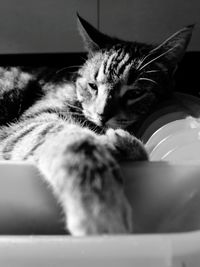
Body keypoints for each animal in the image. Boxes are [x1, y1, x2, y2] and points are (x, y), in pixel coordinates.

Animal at [0, 15, 193, 237]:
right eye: (93, 86)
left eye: (135, 93)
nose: (102, 114)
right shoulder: (32, 121)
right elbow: (77, 142)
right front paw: (102, 210)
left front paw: (123, 145)